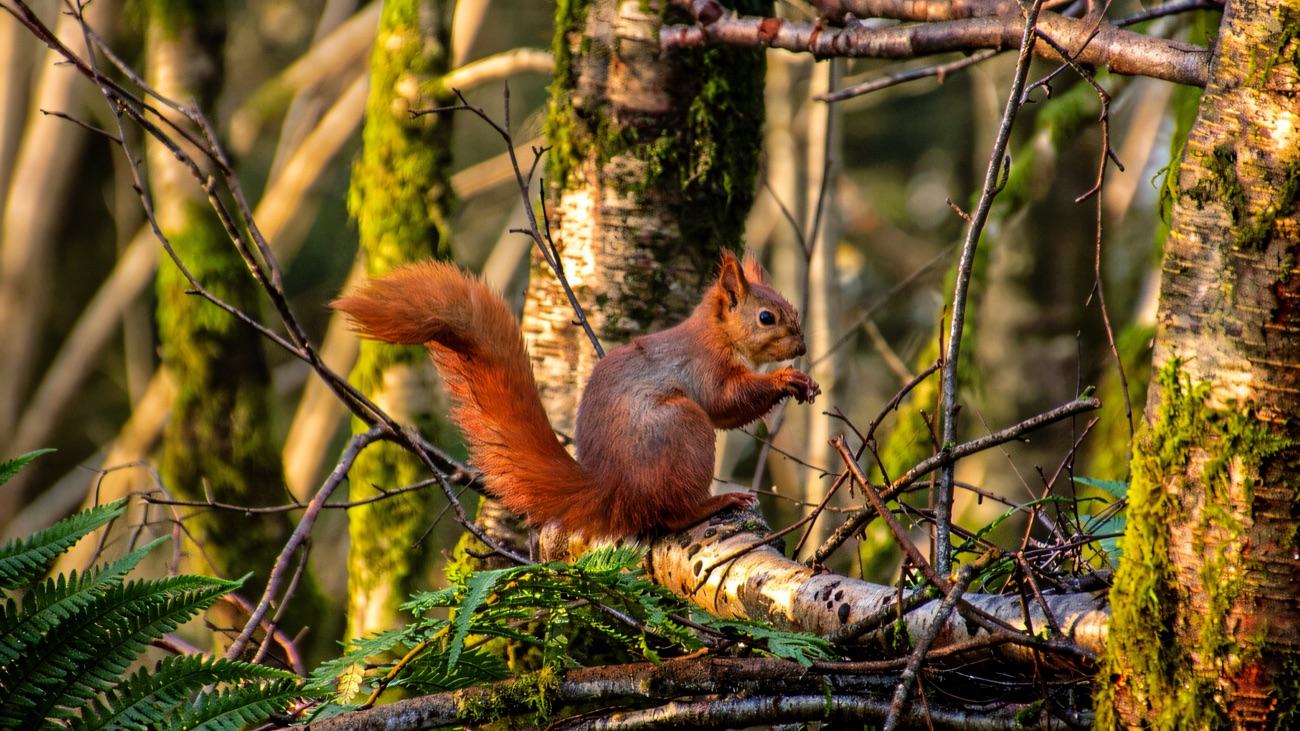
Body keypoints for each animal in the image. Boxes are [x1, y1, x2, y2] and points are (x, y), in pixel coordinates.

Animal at [332, 250, 820, 540]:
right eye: (766, 317)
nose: (802, 347)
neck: (716, 333)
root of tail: (613, 491)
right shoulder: (704, 367)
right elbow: (724, 403)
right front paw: (786, 380)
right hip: (682, 428)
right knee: (668, 514)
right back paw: (714, 503)